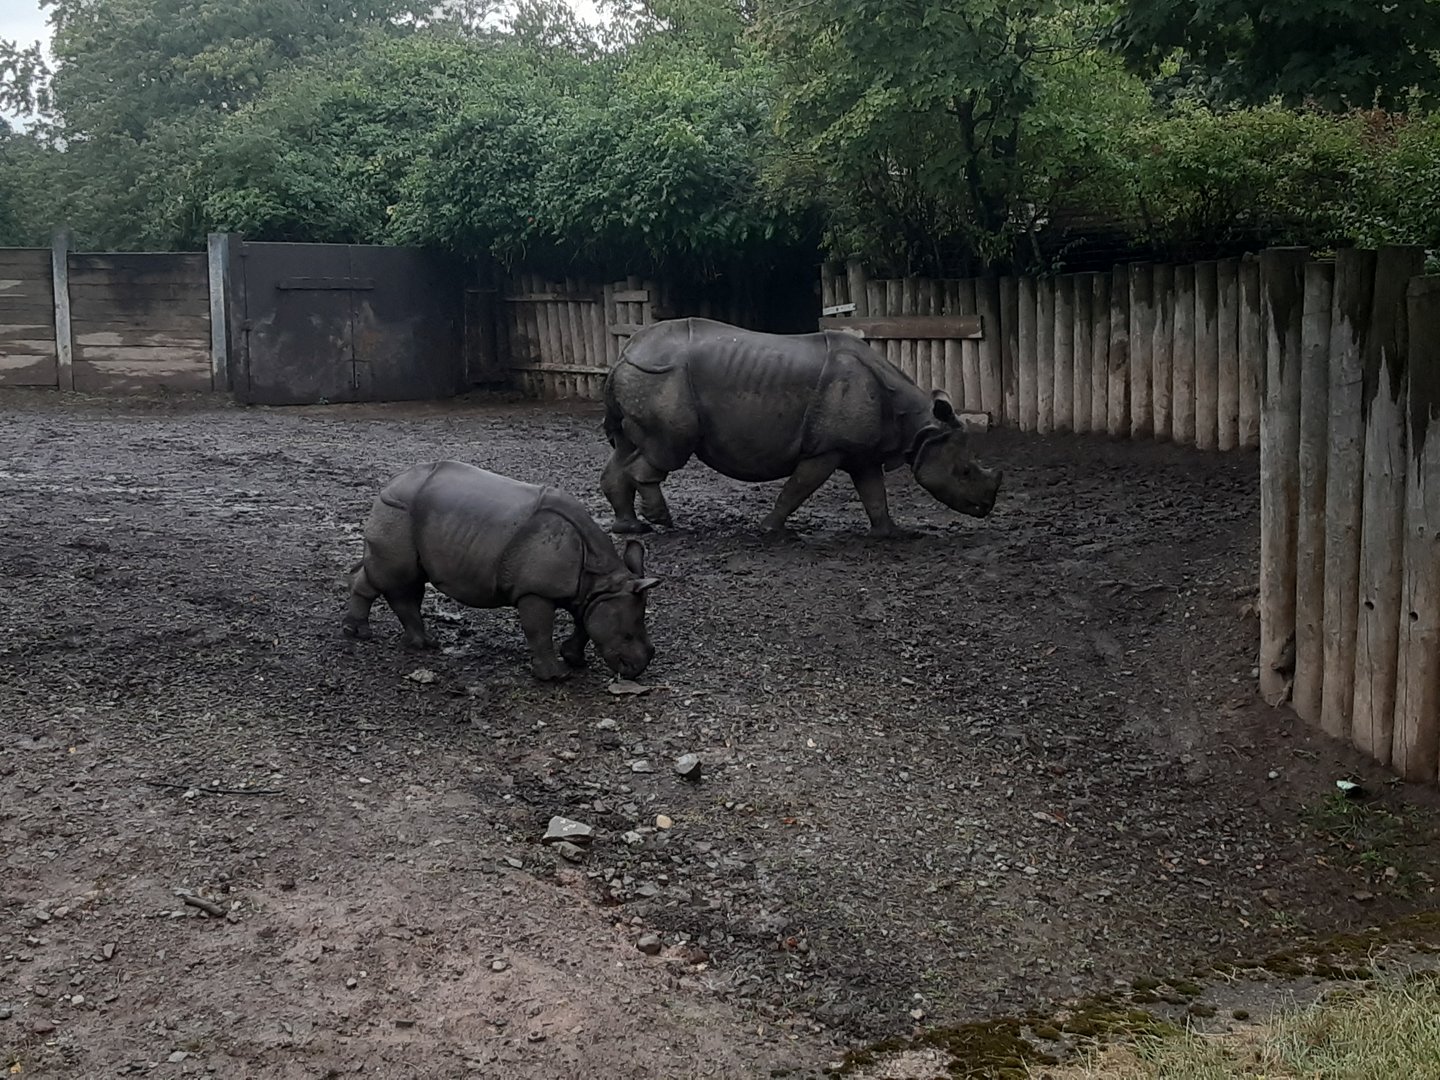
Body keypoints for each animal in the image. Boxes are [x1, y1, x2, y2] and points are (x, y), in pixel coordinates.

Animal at [343, 460, 658, 681]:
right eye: (628, 636)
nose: (637, 669)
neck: (600, 579)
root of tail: (392, 481)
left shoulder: (590, 595)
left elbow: (585, 621)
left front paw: (574, 659)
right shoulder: (535, 591)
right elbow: (539, 630)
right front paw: (556, 676)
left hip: (406, 514)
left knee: (409, 581)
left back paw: (424, 644)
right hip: (396, 511)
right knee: (392, 575)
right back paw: (359, 634)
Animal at [600, 317, 1003, 536]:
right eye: (965, 472)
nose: (986, 508)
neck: (920, 426)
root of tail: (623, 355)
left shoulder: (861, 452)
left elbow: (874, 493)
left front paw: (892, 533)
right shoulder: (826, 449)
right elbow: (797, 488)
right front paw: (770, 529)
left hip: (644, 377)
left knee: (627, 449)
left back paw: (631, 528)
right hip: (661, 378)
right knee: (668, 448)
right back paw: (662, 520)